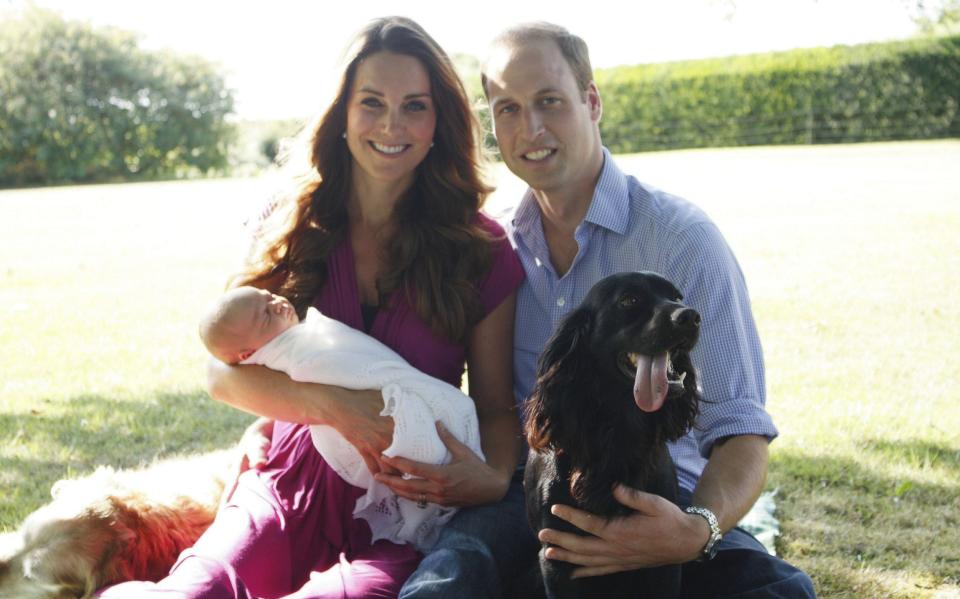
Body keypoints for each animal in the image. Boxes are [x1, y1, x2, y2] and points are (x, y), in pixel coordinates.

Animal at [524, 274, 696, 599]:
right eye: (629, 300)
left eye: (678, 297)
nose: (691, 316)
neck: (618, 431)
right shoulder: (555, 556)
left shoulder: (664, 554)